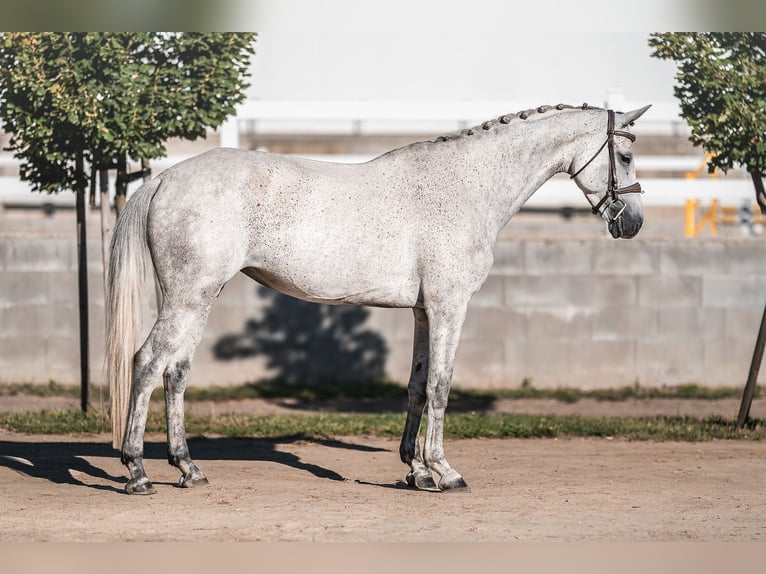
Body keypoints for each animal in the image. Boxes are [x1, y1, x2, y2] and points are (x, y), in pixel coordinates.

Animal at [106, 103, 648, 496]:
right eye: (624, 157)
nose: (634, 223)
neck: (467, 186)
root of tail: (164, 178)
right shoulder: (450, 307)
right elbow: (441, 387)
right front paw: (445, 472)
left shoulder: (424, 312)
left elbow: (416, 386)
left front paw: (417, 472)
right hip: (188, 298)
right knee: (147, 363)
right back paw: (137, 471)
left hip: (199, 298)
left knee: (176, 372)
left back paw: (188, 468)